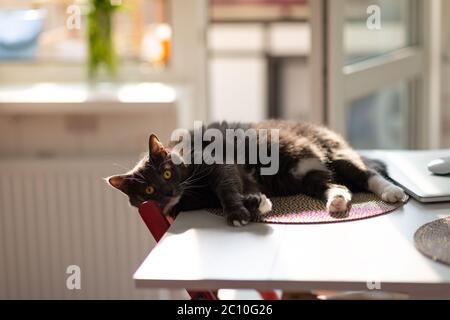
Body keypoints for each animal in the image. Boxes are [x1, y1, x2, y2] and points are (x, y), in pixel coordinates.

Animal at [107, 121, 406, 226]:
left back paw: (392, 192)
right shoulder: (236, 180)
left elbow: (226, 188)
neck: (190, 193)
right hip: (309, 176)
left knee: (367, 174)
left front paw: (237, 214)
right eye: (148, 190)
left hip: (334, 154)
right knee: (339, 186)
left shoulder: (219, 164)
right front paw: (256, 203)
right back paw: (337, 202)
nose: (168, 191)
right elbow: (240, 188)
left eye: (167, 173)